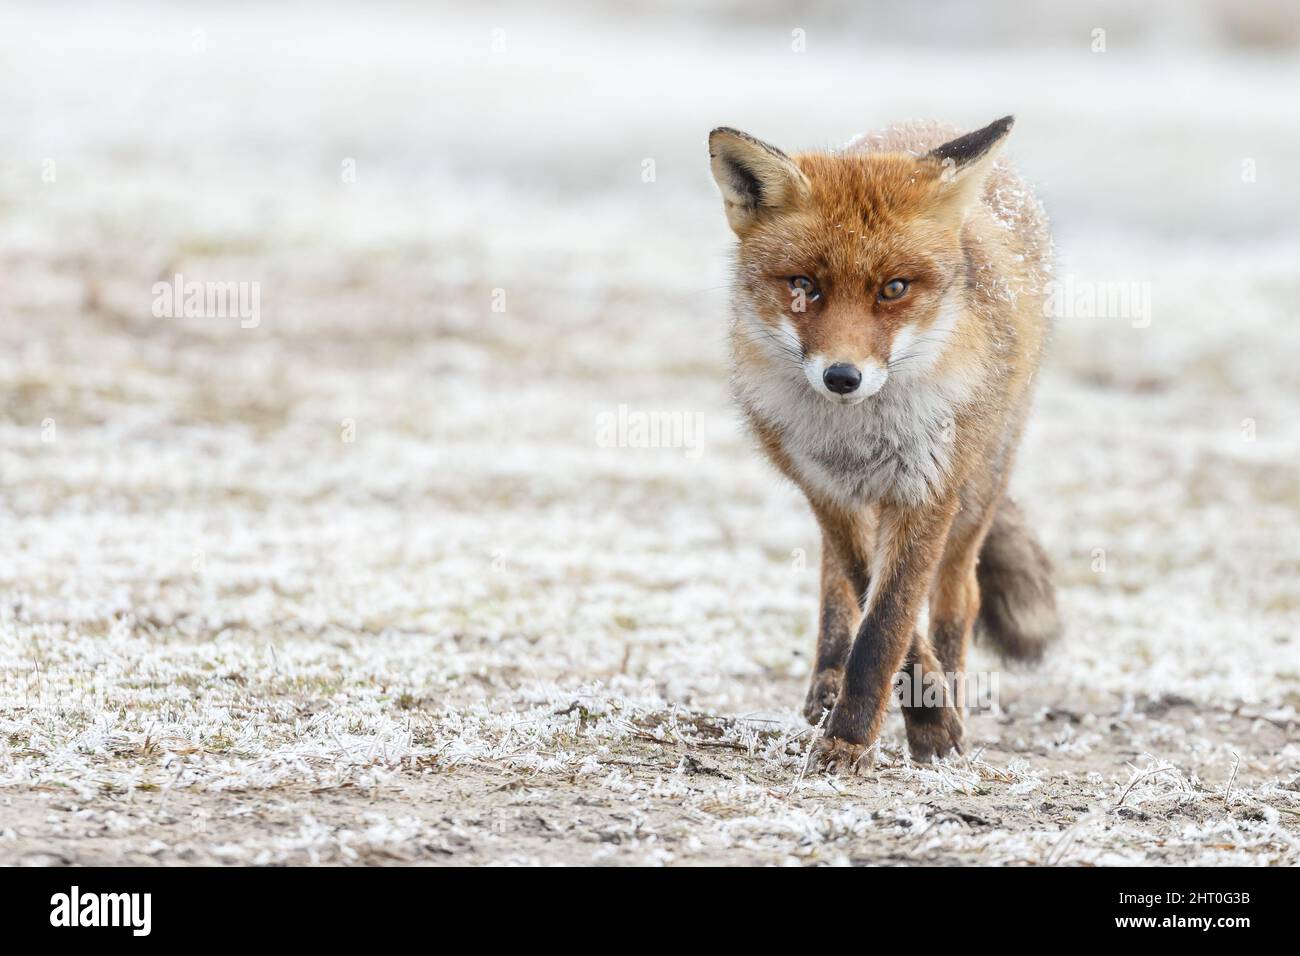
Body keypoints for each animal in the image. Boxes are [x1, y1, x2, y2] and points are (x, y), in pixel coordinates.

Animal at [707, 116, 1060, 771]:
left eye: (894, 288)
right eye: (804, 285)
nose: (842, 377)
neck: (862, 436)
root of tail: (930, 125)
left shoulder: (927, 490)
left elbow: (889, 622)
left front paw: (894, 732)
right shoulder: (828, 490)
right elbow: (866, 595)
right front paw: (887, 716)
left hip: (980, 487)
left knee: (960, 598)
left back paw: (950, 688)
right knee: (834, 581)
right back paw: (827, 679)